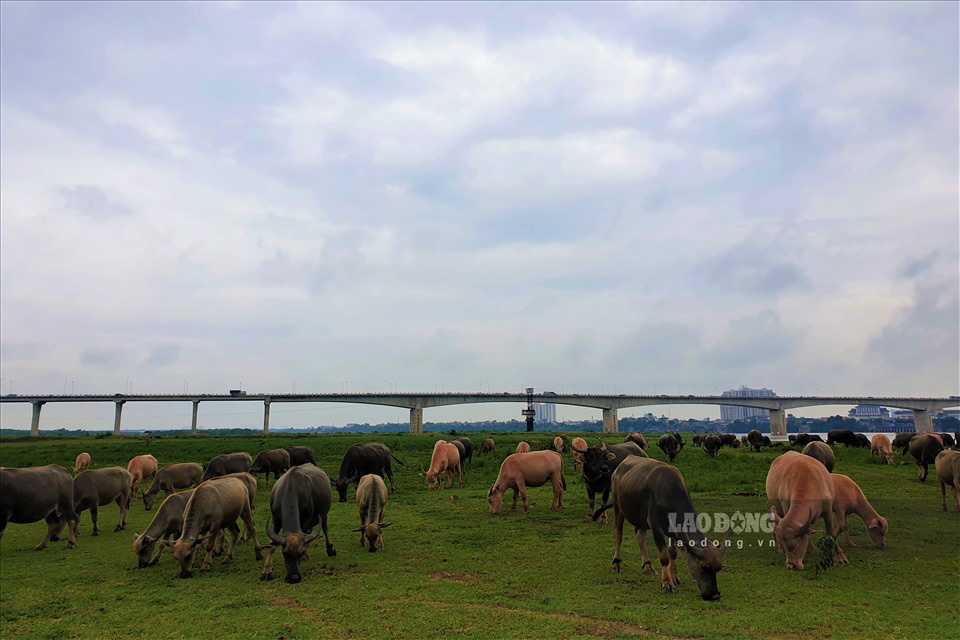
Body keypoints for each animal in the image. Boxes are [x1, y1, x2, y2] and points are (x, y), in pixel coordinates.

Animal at [596, 456, 724, 600]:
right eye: (703, 566)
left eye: (718, 569)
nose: (714, 595)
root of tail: (620, 466)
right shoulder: (656, 527)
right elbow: (664, 556)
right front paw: (667, 584)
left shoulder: (674, 530)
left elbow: (672, 553)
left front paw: (674, 578)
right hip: (618, 507)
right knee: (618, 533)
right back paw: (617, 563)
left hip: (641, 520)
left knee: (640, 536)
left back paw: (648, 566)